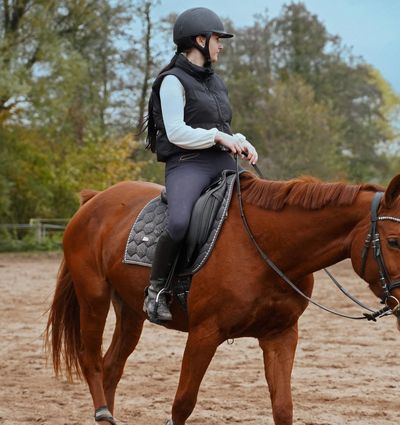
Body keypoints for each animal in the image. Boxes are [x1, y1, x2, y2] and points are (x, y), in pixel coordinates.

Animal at [44, 171, 400, 422]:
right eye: (394, 241)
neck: (265, 249)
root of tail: (95, 200)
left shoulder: (281, 335)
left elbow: (283, 407)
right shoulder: (204, 334)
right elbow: (182, 404)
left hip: (131, 312)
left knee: (111, 367)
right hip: (94, 298)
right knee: (92, 361)